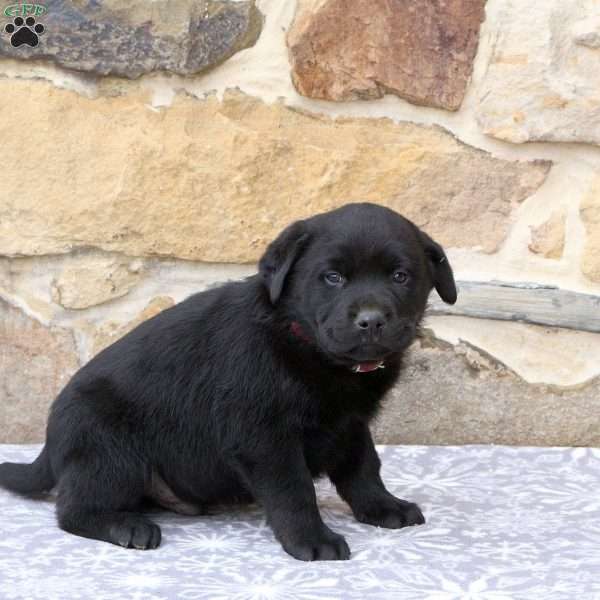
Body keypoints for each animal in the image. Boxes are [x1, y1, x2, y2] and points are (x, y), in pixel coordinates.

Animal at [0, 204, 454, 560]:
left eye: (400, 276)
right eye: (333, 278)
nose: (371, 320)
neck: (305, 346)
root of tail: (50, 446)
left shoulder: (351, 423)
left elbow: (364, 468)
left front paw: (384, 506)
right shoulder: (264, 437)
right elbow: (294, 490)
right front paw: (312, 539)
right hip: (108, 449)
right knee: (73, 510)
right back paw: (125, 526)